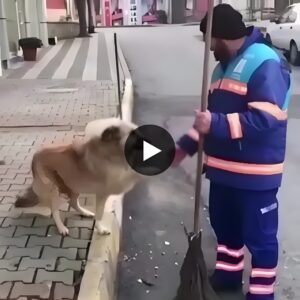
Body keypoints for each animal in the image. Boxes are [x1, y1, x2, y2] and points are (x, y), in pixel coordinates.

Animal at [14, 118, 144, 236]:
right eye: (132, 133)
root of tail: (36, 155)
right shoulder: (104, 192)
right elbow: (100, 214)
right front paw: (100, 229)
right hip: (58, 188)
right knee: (54, 208)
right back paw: (61, 227)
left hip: (74, 185)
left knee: (72, 202)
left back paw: (85, 212)